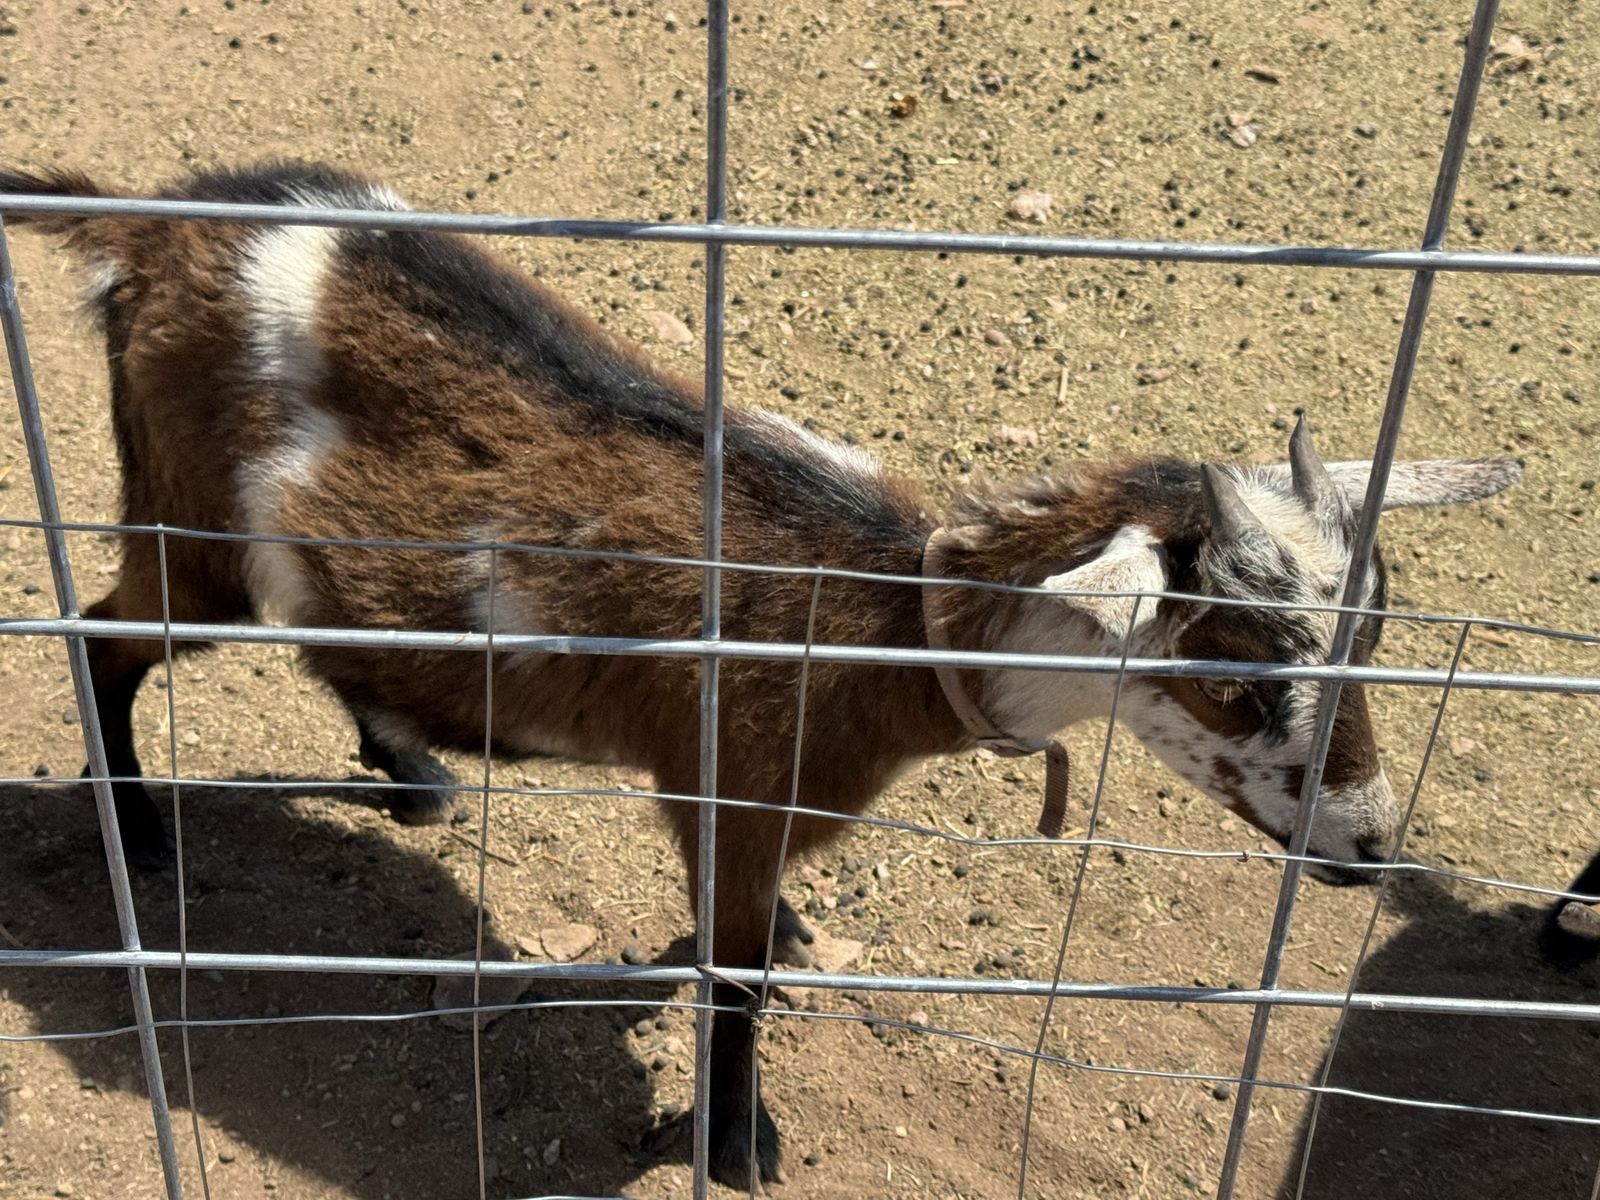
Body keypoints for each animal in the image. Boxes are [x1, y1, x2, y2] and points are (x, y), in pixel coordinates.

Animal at [1, 160, 1522, 1186]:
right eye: (1239, 683)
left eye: (1372, 648)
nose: (1373, 848)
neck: (881, 623)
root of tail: (157, 220)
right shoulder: (721, 786)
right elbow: (724, 981)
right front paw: (739, 1141)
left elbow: (749, 949)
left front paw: (790, 952)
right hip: (191, 532)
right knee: (99, 633)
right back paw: (139, 832)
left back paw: (415, 767)